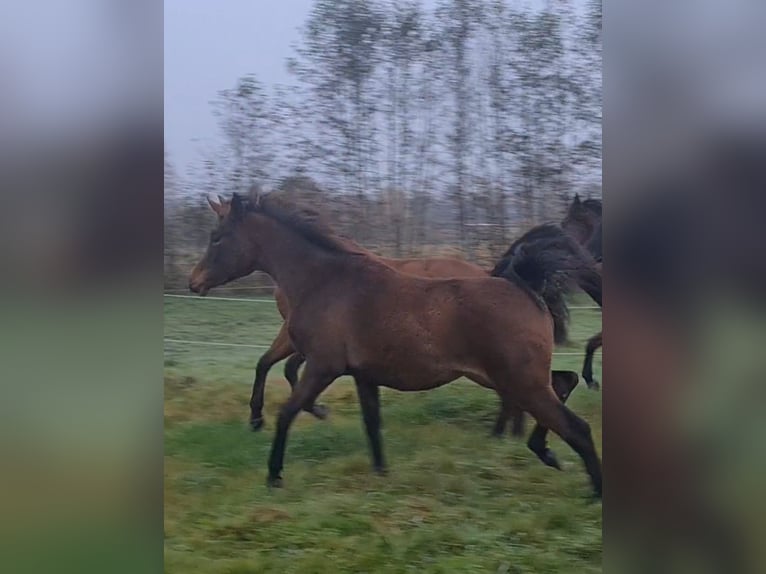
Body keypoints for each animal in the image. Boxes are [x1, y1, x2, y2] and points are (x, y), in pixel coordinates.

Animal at [189, 194, 604, 500]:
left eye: (217, 237)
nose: (194, 282)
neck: (326, 282)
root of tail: (525, 285)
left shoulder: (322, 366)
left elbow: (288, 412)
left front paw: (273, 475)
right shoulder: (363, 375)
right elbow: (372, 424)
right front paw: (381, 474)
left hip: (518, 379)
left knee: (577, 425)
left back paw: (591, 488)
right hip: (509, 378)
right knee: (563, 383)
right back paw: (544, 450)